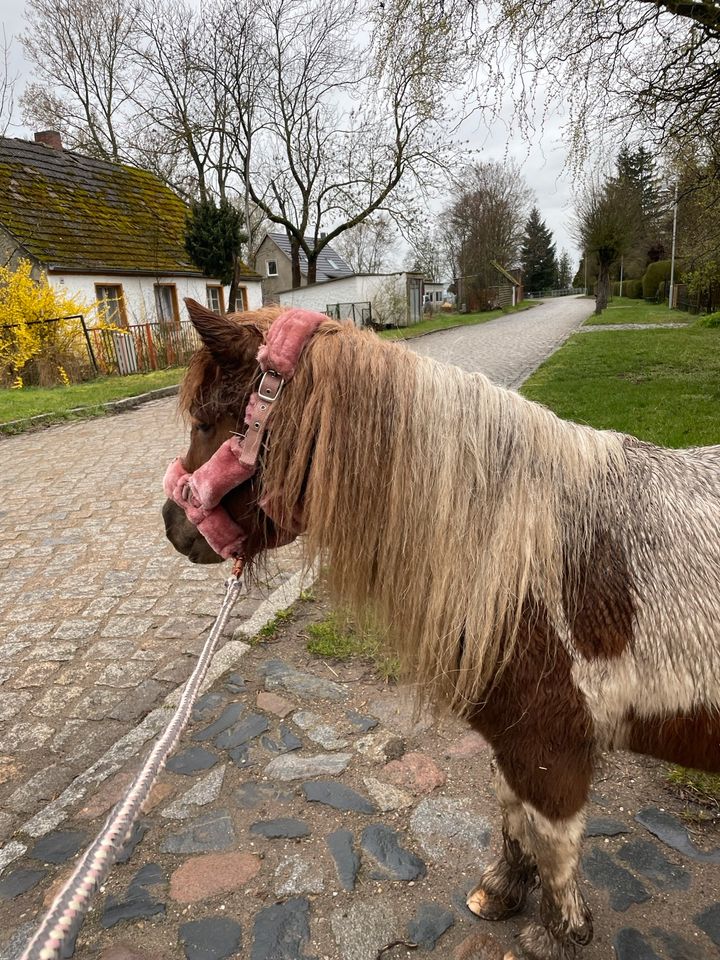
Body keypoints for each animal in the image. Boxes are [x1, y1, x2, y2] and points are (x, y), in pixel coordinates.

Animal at [163, 302, 720, 960]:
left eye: (207, 421)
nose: (173, 525)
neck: (527, 552)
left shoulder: (553, 752)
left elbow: (554, 847)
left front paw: (554, 937)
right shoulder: (514, 743)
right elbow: (512, 815)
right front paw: (502, 891)